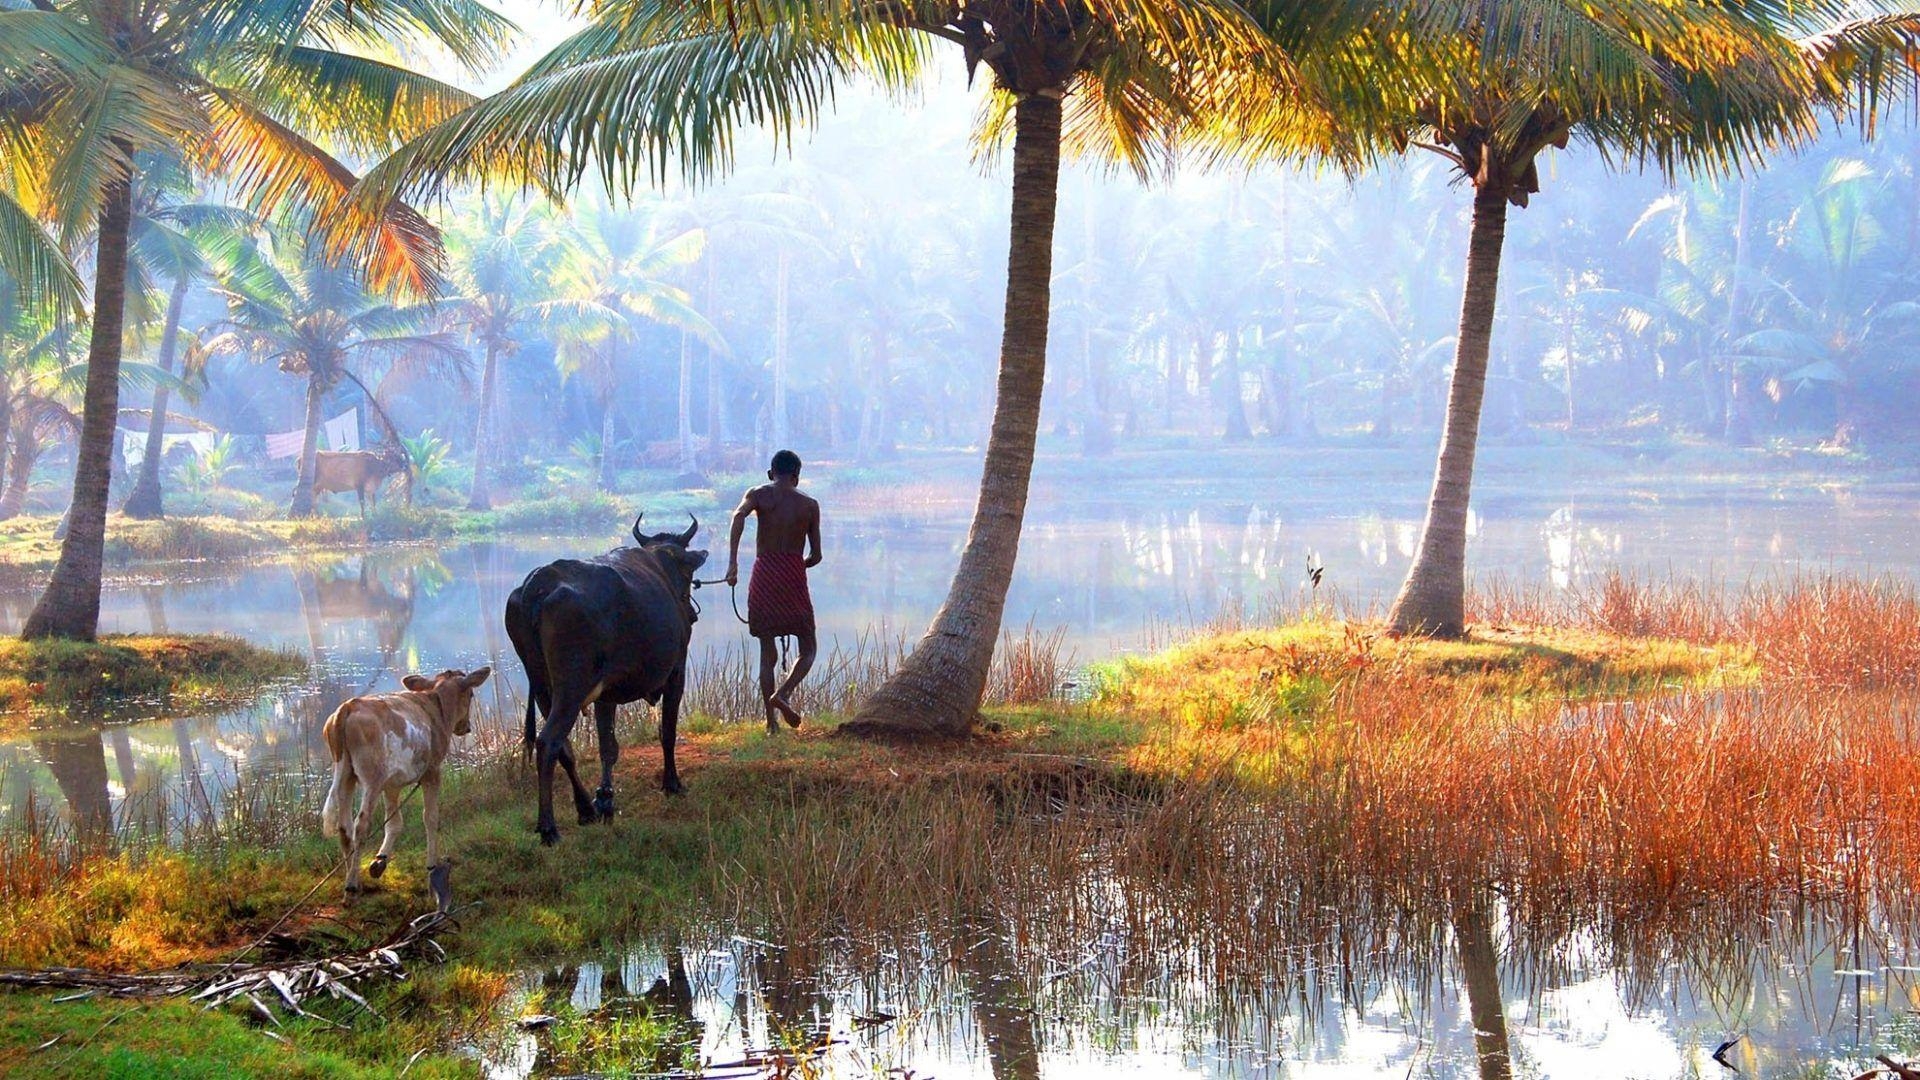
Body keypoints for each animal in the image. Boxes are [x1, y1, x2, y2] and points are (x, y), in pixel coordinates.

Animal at [322, 664, 491, 891]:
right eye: (471, 694)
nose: (467, 727)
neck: (436, 707)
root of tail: (347, 707)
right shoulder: (432, 772)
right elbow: (430, 817)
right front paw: (431, 866)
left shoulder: (392, 784)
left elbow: (394, 822)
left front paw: (380, 861)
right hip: (372, 779)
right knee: (361, 825)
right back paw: (351, 884)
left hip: (346, 775)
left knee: (344, 827)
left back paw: (352, 875)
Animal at [506, 511, 710, 841]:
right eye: (688, 574)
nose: (690, 614)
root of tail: (538, 584)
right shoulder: (676, 672)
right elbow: (667, 732)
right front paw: (672, 784)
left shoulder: (605, 695)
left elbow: (608, 747)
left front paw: (604, 799)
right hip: (570, 689)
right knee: (548, 742)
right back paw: (548, 827)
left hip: (543, 690)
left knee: (564, 748)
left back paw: (585, 809)